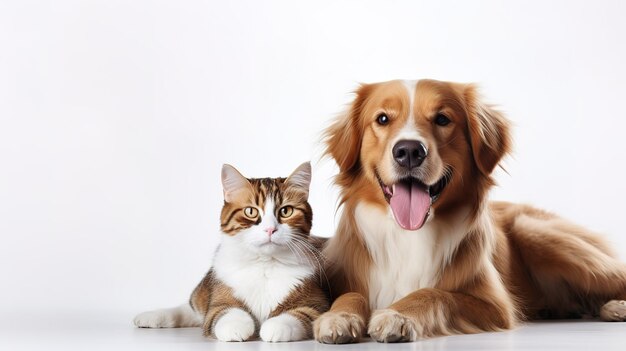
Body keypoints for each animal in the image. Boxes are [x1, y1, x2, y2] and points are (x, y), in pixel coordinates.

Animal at [134, 163, 330, 344]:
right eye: (250, 211)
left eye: (286, 211)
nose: (270, 229)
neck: (264, 263)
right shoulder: (219, 300)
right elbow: (225, 312)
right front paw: (236, 327)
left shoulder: (316, 304)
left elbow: (297, 315)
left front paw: (275, 327)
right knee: (190, 308)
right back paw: (150, 317)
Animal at [314, 79, 624, 344]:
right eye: (382, 119)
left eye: (442, 119)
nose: (409, 151)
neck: (408, 234)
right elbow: (350, 294)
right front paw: (338, 317)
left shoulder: (495, 305)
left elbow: (435, 293)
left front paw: (396, 314)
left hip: (541, 236)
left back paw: (616, 306)